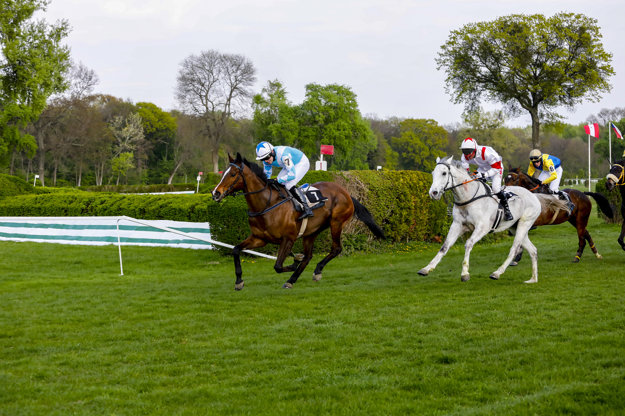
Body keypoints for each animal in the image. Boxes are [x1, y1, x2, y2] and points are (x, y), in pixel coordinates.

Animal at [211, 151, 386, 290]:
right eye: (223, 173)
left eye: (233, 174)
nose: (216, 193)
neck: (266, 204)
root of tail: (346, 193)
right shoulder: (259, 238)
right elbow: (235, 250)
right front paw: (239, 281)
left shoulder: (288, 238)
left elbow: (278, 266)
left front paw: (294, 261)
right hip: (311, 232)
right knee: (309, 256)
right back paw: (293, 279)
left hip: (336, 223)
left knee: (336, 249)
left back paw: (316, 271)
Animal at [420, 154, 540, 284]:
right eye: (433, 173)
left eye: (444, 173)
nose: (433, 193)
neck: (467, 198)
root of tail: (533, 196)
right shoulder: (457, 225)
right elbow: (445, 246)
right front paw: (426, 268)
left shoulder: (483, 228)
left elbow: (468, 244)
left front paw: (465, 273)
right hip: (515, 227)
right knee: (533, 250)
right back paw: (533, 279)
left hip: (524, 223)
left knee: (514, 248)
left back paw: (497, 273)